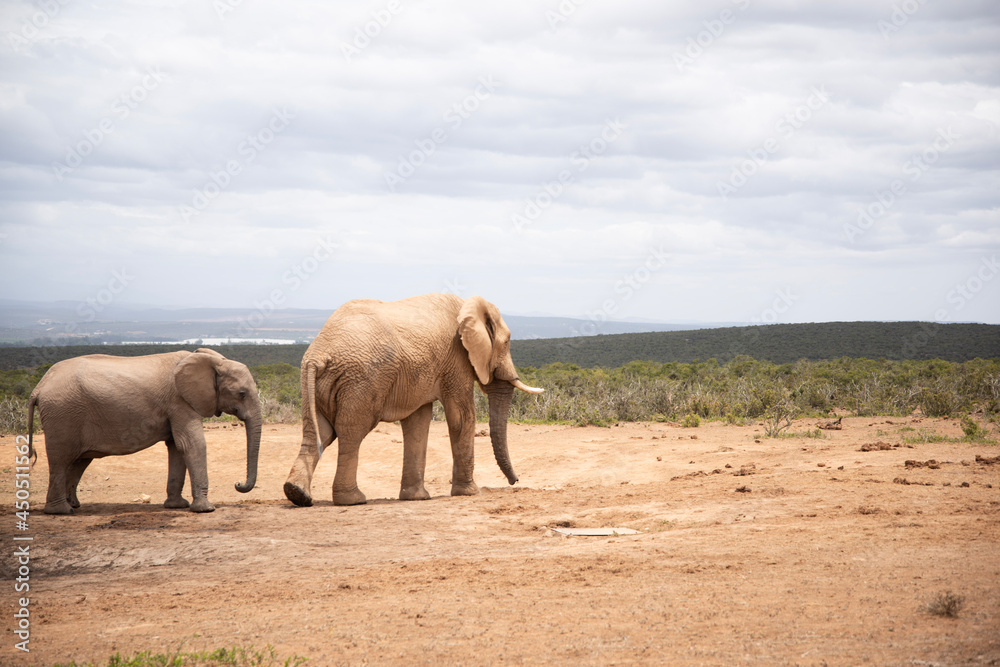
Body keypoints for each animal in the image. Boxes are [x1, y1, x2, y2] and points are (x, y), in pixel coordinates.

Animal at [26, 348, 261, 515]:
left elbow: (177, 448)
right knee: (61, 460)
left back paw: (73, 505)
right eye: (241, 393)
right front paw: (205, 509)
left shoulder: (176, 406)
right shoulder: (180, 401)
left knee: (78, 461)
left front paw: (177, 506)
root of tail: (39, 387)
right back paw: (61, 511)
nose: (238, 483)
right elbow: (192, 444)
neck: (211, 361)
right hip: (62, 414)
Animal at [283, 293, 543, 507]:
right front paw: (470, 492)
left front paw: (416, 497)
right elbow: (461, 417)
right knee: (351, 432)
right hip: (361, 380)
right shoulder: (456, 358)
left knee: (318, 431)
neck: (467, 304)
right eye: (507, 342)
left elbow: (418, 423)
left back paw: (297, 494)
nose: (515, 481)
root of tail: (318, 355)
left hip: (316, 383)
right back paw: (353, 500)